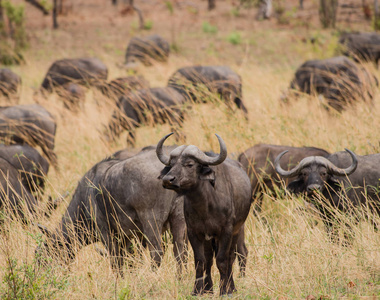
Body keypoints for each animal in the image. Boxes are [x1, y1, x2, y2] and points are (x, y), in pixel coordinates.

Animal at [37, 148, 187, 274]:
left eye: (45, 255)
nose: (41, 275)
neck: (85, 198)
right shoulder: (128, 236)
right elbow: (130, 259)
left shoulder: (106, 233)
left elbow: (116, 260)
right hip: (178, 219)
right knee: (180, 251)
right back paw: (180, 278)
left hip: (151, 221)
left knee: (157, 252)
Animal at [157, 134, 252, 296]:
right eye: (172, 164)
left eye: (189, 164)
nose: (168, 180)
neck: (205, 206)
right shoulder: (194, 232)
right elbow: (200, 261)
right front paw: (197, 290)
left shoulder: (226, 231)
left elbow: (222, 260)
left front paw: (224, 290)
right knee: (209, 258)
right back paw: (208, 288)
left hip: (237, 231)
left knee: (231, 257)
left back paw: (231, 287)